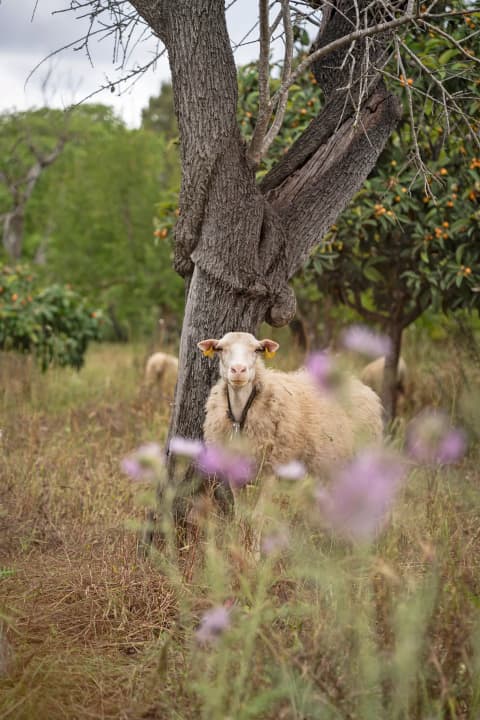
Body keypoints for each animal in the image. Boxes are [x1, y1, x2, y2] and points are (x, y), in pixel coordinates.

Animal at [198, 332, 383, 478]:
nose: (238, 370)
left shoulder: (274, 467)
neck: (242, 413)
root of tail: (358, 383)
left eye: (257, 350)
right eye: (220, 348)